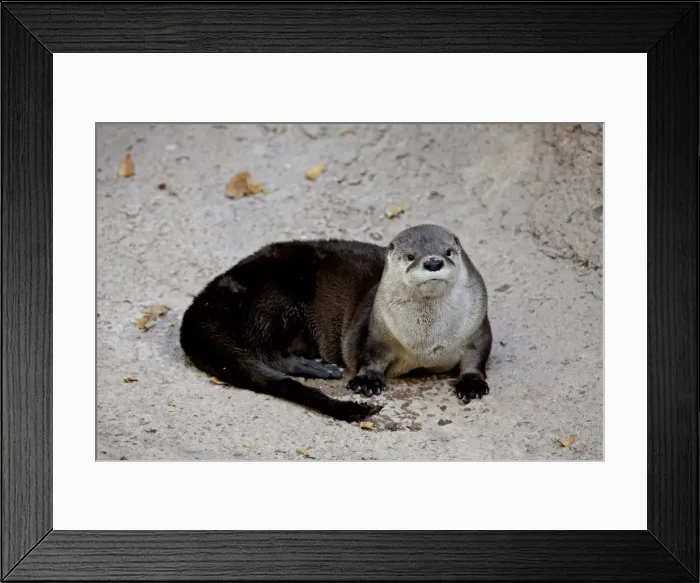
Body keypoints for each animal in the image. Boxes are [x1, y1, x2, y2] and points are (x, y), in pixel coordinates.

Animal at [179, 224, 492, 423]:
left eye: (449, 251)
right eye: (410, 256)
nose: (433, 262)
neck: (426, 343)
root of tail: (212, 293)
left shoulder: (478, 327)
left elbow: (478, 355)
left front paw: (472, 383)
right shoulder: (377, 332)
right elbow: (371, 355)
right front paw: (367, 381)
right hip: (276, 297)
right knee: (265, 351)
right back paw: (320, 368)